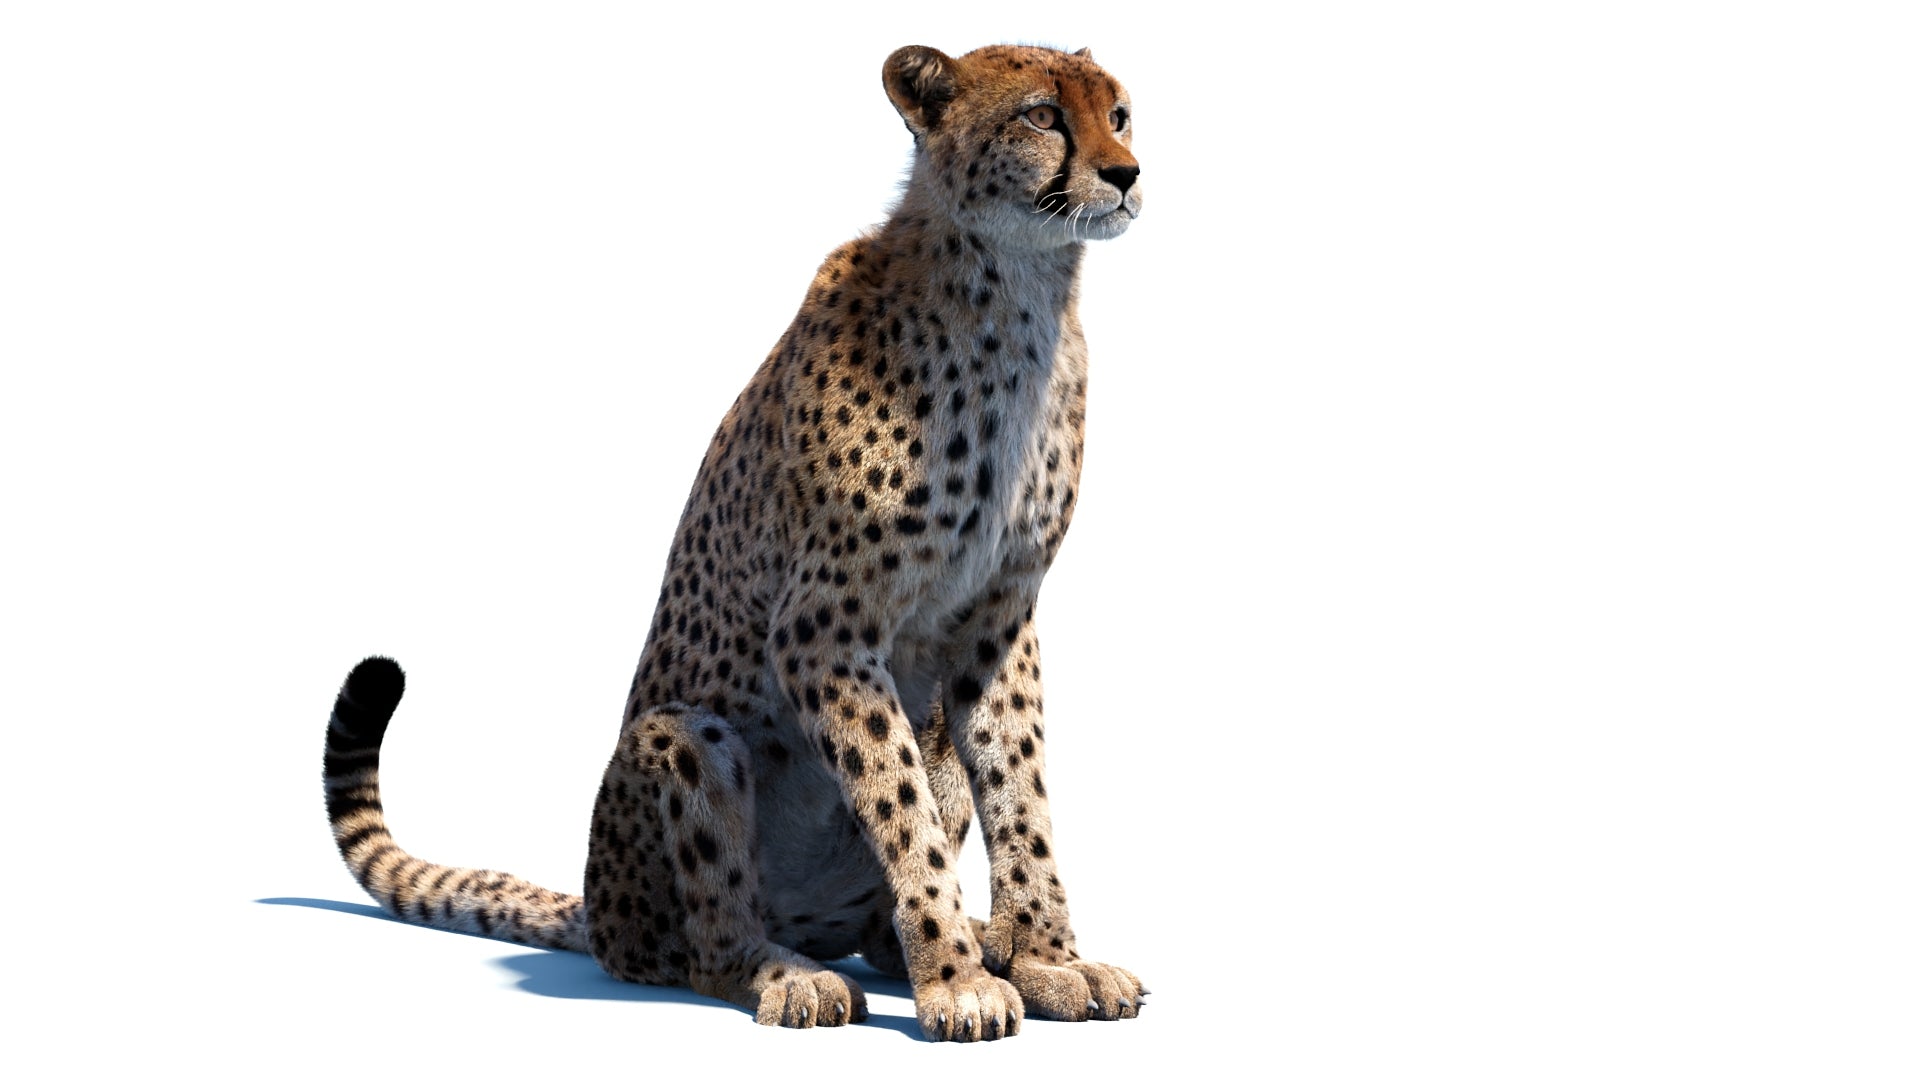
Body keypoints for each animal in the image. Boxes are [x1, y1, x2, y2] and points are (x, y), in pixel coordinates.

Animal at [321, 42, 1144, 1043]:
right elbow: (898, 802)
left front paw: (1044, 959)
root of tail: (599, 907)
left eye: (1120, 114)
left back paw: (949, 941)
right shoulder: (824, 630)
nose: (1126, 174)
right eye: (1041, 116)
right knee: (701, 949)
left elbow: (1020, 794)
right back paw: (789, 974)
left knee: (876, 917)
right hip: (682, 736)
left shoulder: (998, 623)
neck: (1019, 289)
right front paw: (956, 982)